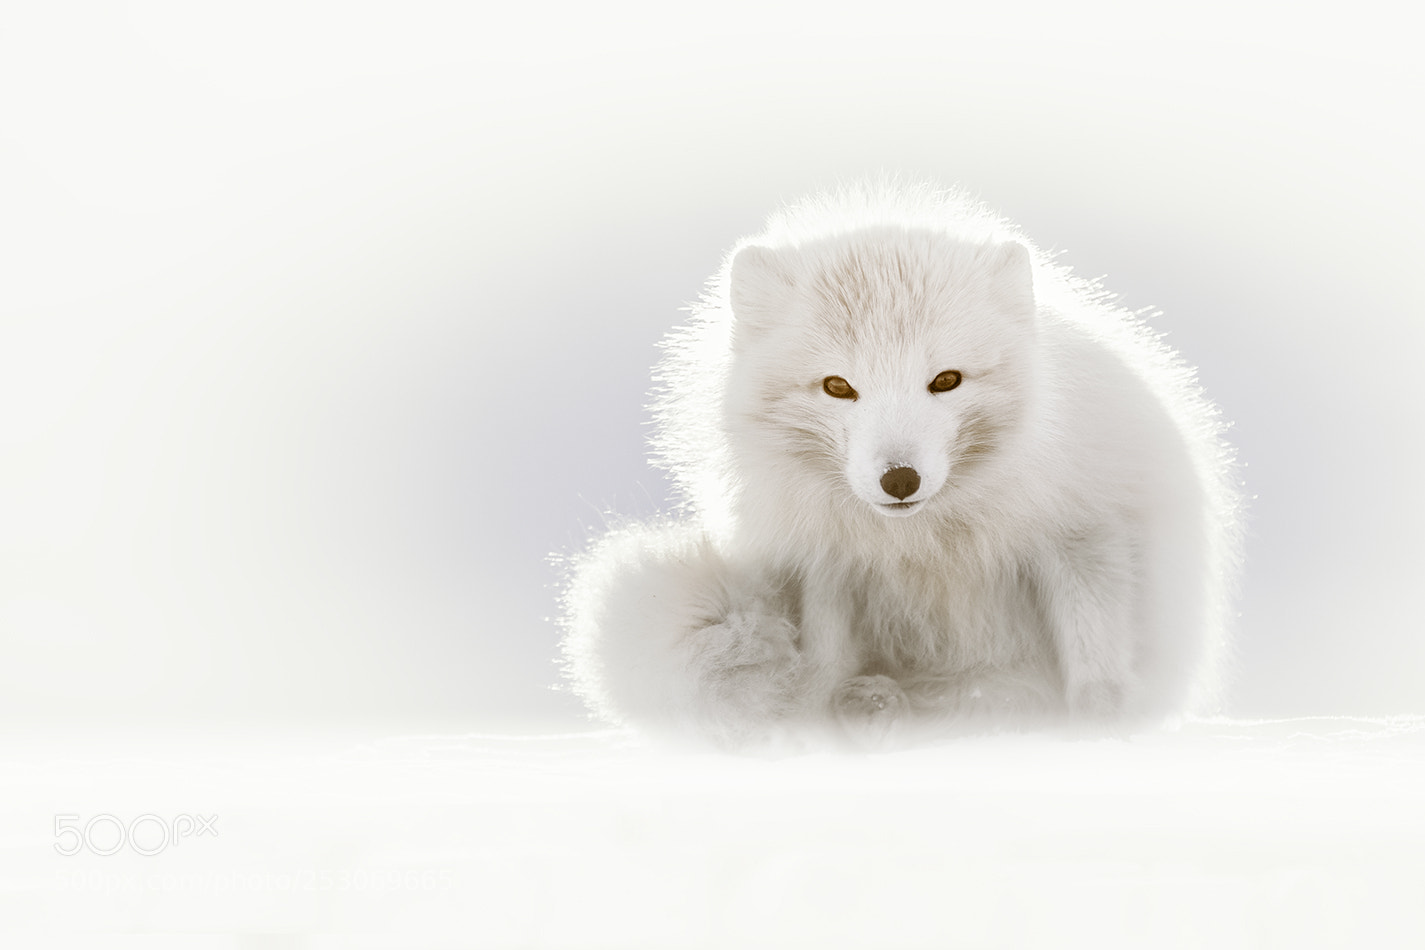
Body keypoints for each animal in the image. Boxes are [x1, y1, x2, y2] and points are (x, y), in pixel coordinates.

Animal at [560, 181, 1241, 751]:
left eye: (946, 380)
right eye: (838, 386)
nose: (900, 480)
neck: (924, 540)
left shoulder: (1086, 534)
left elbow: (1095, 664)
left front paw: (1100, 736)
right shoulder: (827, 562)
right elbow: (822, 660)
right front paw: (806, 731)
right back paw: (872, 707)